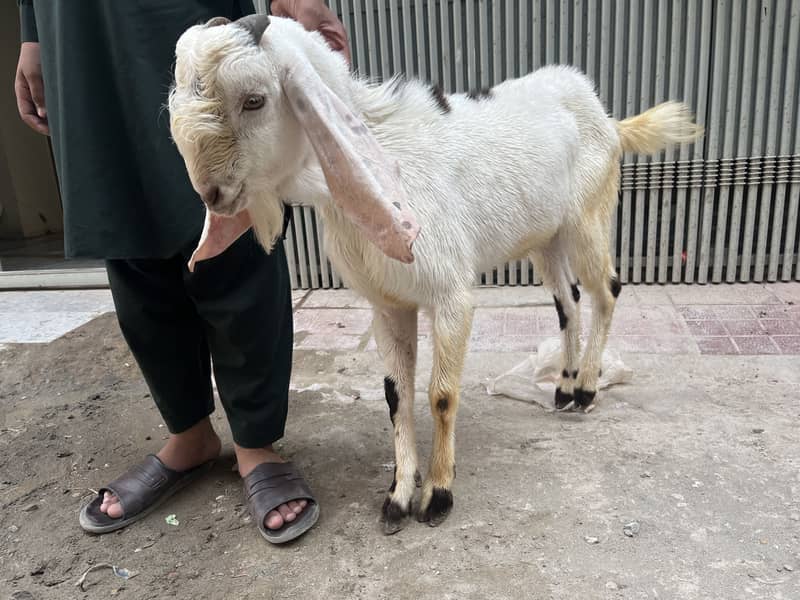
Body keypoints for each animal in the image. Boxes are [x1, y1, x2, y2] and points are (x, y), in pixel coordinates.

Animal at [168, 14, 701, 533]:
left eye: (254, 100)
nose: (212, 193)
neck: (380, 157)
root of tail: (606, 116)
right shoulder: (387, 304)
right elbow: (396, 396)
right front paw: (398, 495)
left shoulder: (451, 295)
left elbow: (440, 394)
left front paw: (438, 495)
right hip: (545, 239)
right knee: (567, 301)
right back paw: (564, 389)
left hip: (588, 217)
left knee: (606, 291)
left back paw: (588, 388)